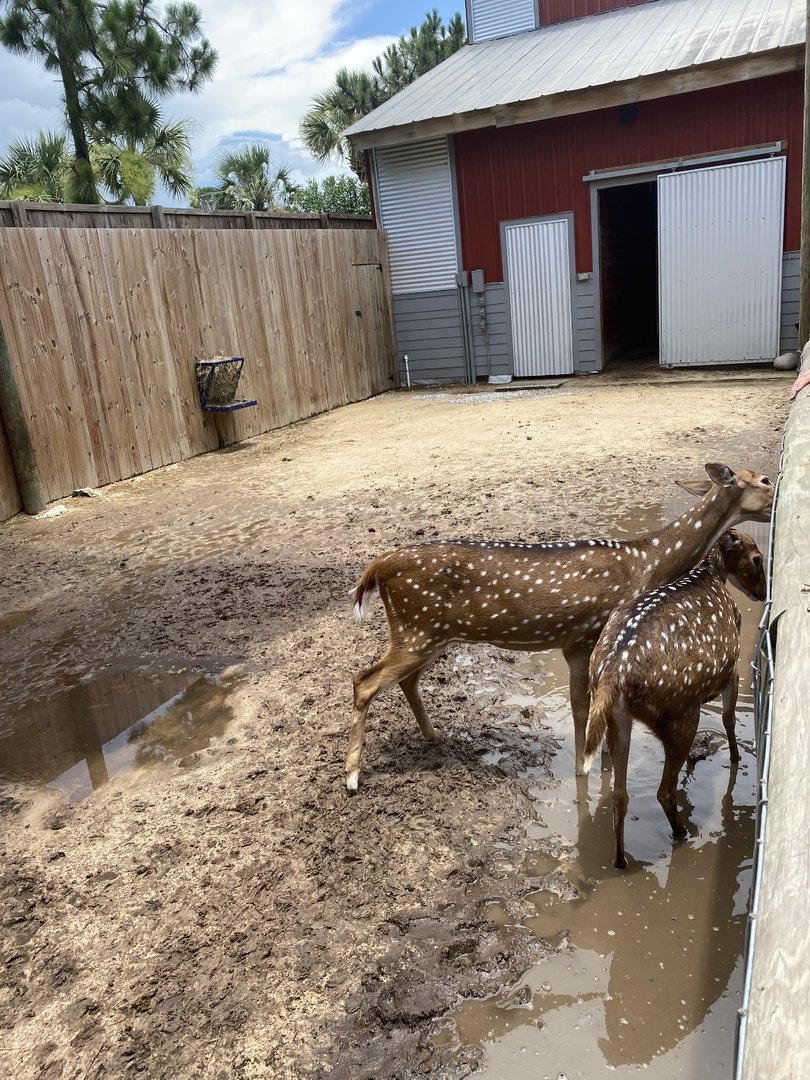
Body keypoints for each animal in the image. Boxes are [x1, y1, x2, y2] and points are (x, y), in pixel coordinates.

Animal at [346, 463, 774, 792]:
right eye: (765, 480)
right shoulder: (582, 639)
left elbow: (590, 708)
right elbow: (581, 709)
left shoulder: (587, 645)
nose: (761, 592)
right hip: (416, 628)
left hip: (429, 633)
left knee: (405, 680)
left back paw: (434, 736)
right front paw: (587, 774)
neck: (647, 564)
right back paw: (352, 778)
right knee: (364, 681)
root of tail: (377, 567)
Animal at [581, 529, 766, 869]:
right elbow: (729, 718)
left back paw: (620, 860)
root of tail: (612, 674)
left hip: (618, 721)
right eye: (757, 558)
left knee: (620, 795)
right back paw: (683, 833)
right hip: (679, 715)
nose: (762, 593)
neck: (710, 574)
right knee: (663, 791)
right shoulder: (732, 670)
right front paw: (736, 758)